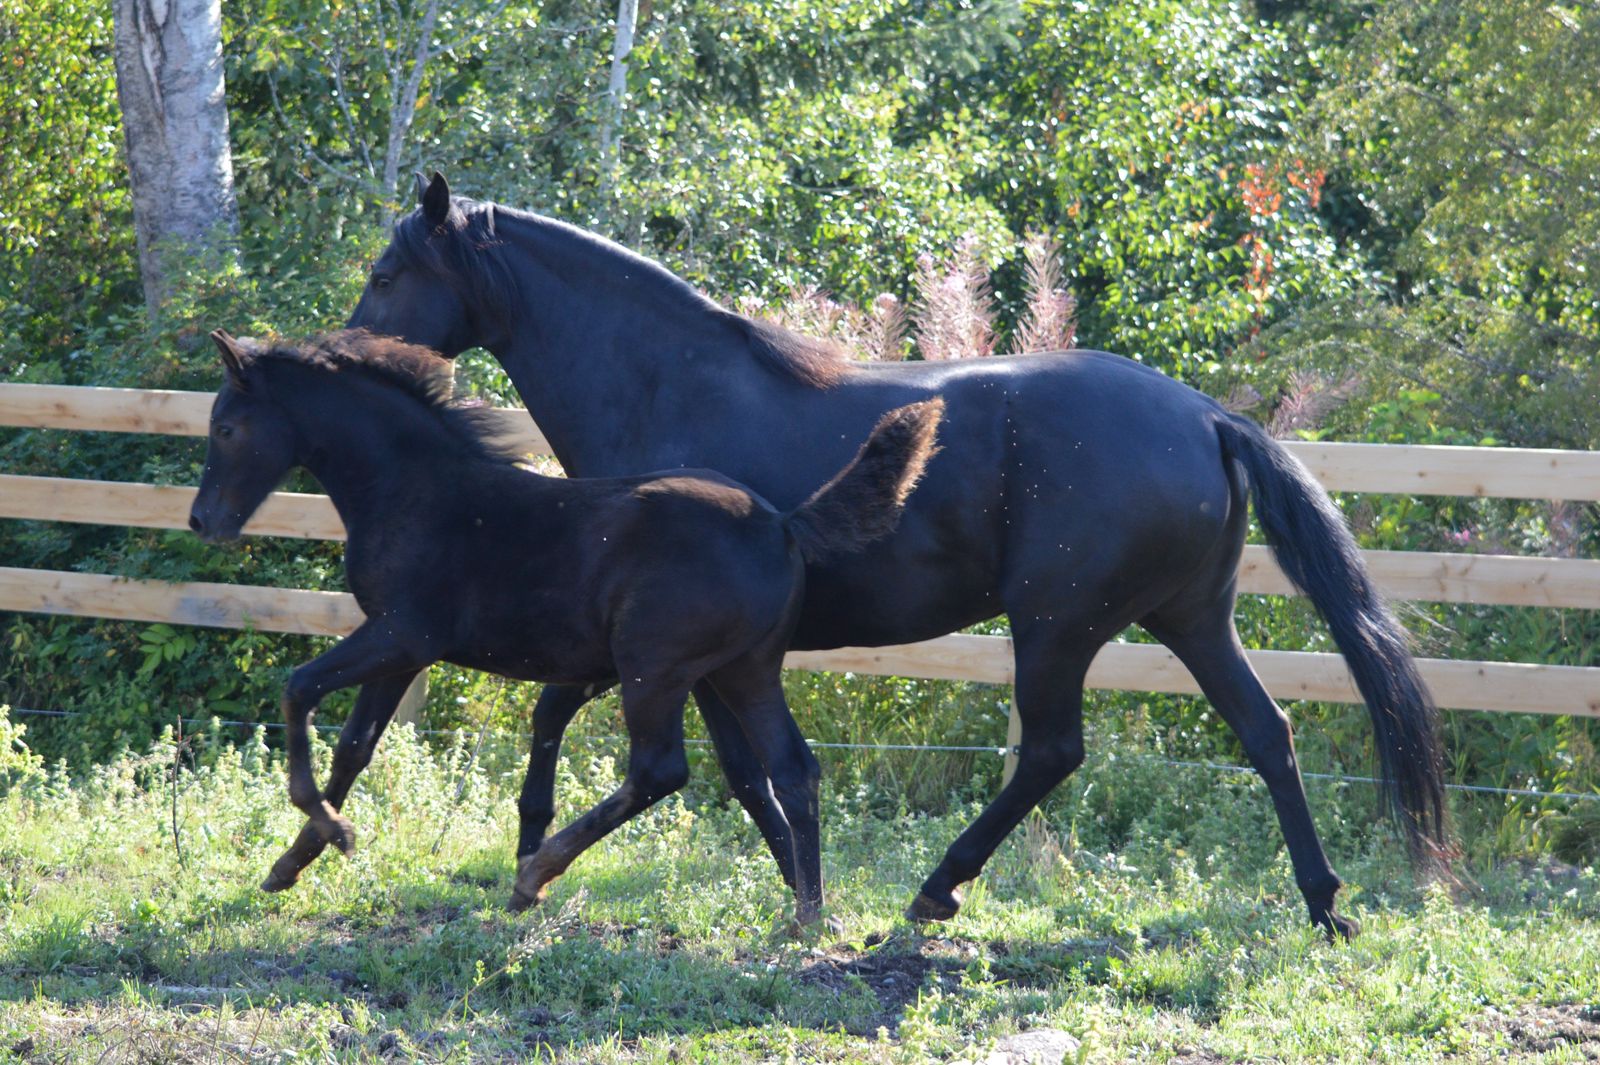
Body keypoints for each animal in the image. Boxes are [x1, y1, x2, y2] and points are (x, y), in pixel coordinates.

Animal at [187, 328, 943, 922]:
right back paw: (808, 915)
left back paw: (535, 874)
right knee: (792, 768)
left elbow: (298, 689)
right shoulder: (400, 648)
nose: (202, 521)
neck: (415, 490)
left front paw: (331, 832)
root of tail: (783, 524)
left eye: (225, 428)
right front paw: (294, 861)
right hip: (743, 669)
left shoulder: (402, 634)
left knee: (660, 768)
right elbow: (355, 746)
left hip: (653, 668)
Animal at [345, 173, 1449, 940]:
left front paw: (793, 896)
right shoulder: (681, 650)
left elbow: (729, 768)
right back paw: (1325, 906)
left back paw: (934, 891)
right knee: (1267, 732)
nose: (351, 358)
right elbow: (720, 764)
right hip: (1188, 618)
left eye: (388, 274)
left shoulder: (673, 645)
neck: (667, 387)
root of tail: (1208, 416)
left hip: (1057, 623)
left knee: (1052, 751)